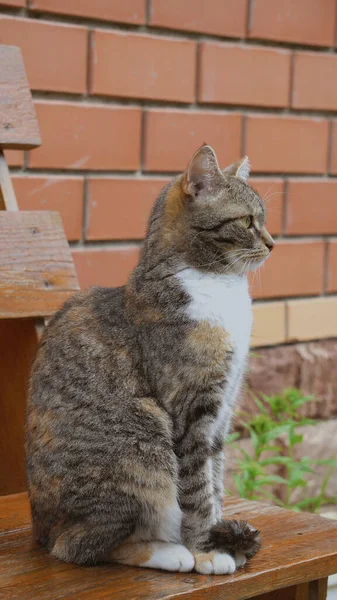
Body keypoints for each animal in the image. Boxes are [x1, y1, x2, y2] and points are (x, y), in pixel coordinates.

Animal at [26, 143, 272, 576]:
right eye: (247, 221)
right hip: (142, 440)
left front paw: (225, 537)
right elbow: (197, 491)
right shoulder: (190, 408)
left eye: (264, 219)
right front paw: (206, 549)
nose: (274, 243)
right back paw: (170, 552)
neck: (217, 286)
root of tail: (40, 527)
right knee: (78, 546)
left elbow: (215, 480)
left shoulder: (222, 411)